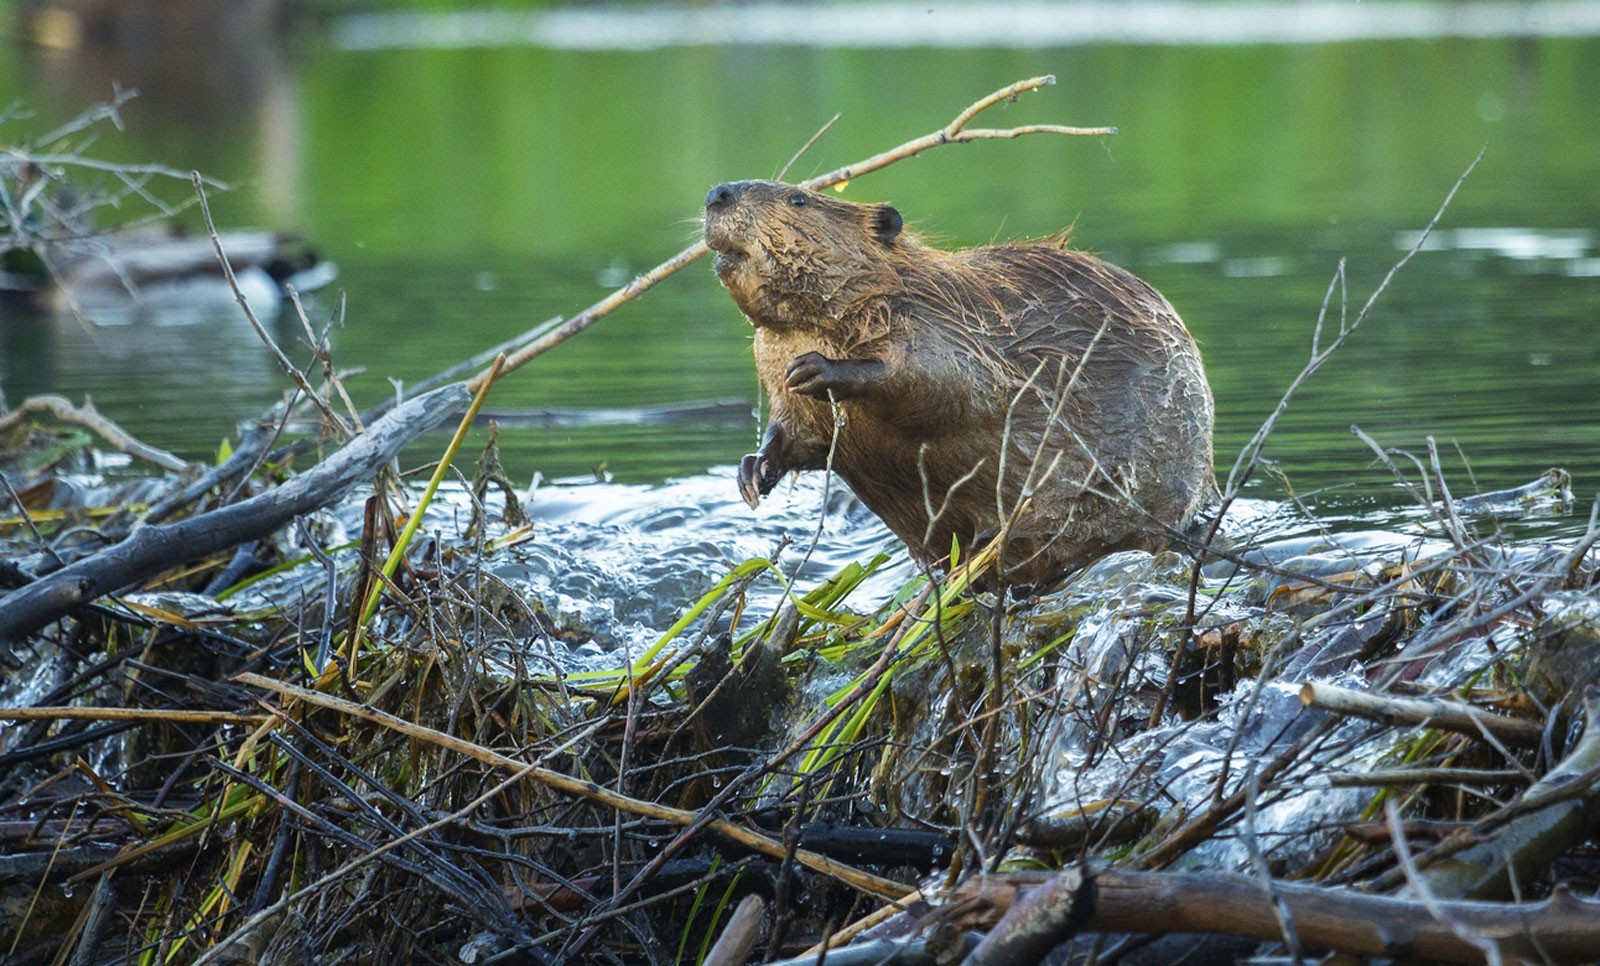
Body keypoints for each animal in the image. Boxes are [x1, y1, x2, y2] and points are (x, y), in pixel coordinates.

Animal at [700, 182, 1209, 585]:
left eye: (798, 199)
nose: (717, 193)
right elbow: (795, 433)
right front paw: (752, 473)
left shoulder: (942, 322)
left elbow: (944, 383)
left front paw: (817, 368)